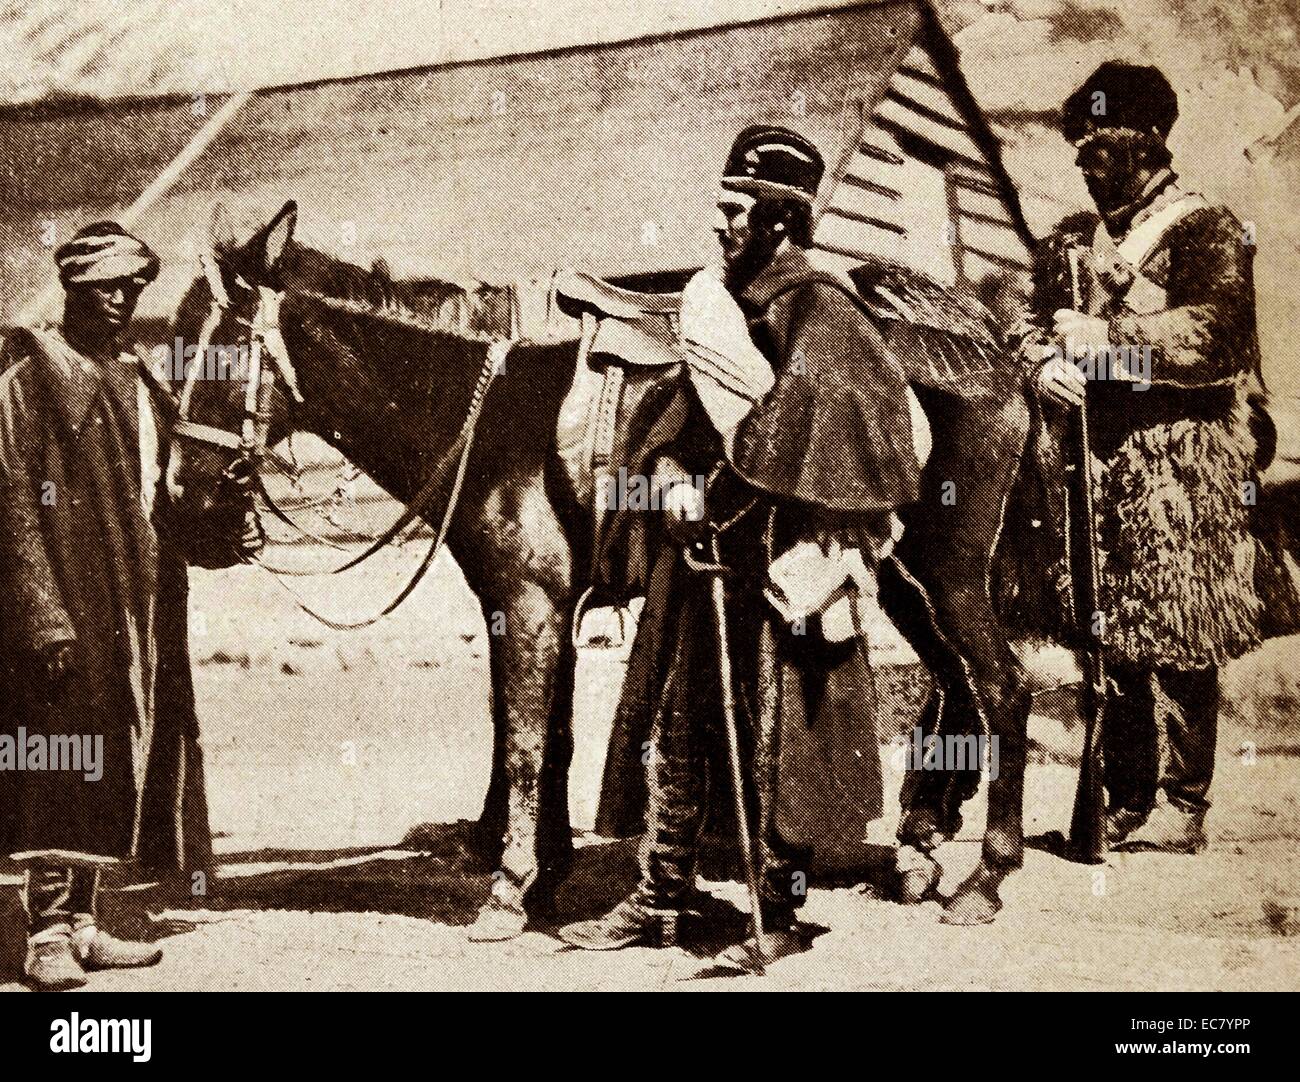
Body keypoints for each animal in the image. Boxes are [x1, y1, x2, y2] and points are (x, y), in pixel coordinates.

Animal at [165, 200, 1034, 931]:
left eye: (217, 352)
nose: (183, 505)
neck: (491, 412)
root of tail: (988, 350)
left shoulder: (530, 602)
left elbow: (522, 738)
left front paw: (509, 886)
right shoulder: (535, 603)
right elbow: (544, 735)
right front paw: (542, 873)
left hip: (948, 570)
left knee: (1003, 688)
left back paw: (985, 879)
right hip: (901, 578)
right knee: (958, 685)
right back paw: (920, 849)